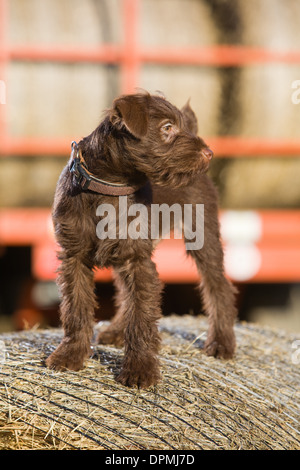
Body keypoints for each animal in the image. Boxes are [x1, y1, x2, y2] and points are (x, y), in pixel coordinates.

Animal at [45, 92, 237, 390]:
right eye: (167, 127)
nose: (209, 153)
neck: (109, 188)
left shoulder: (138, 260)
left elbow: (142, 316)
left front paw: (140, 369)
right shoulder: (74, 257)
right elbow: (76, 310)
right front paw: (70, 355)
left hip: (203, 236)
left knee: (218, 287)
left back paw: (221, 342)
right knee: (126, 293)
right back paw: (115, 331)